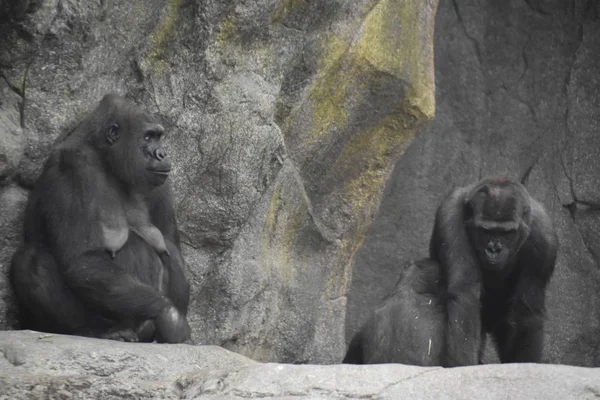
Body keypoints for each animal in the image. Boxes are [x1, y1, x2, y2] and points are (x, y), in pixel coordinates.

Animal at [10, 94, 191, 344]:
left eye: (158, 137)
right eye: (147, 137)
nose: (162, 154)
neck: (106, 158)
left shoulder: (160, 182)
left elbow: (170, 245)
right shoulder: (72, 167)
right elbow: (82, 260)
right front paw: (170, 316)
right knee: (31, 259)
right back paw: (94, 330)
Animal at [344, 177, 560, 366]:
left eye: (507, 233)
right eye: (486, 231)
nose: (494, 249)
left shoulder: (544, 234)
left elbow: (526, 309)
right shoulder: (451, 214)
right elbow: (465, 294)